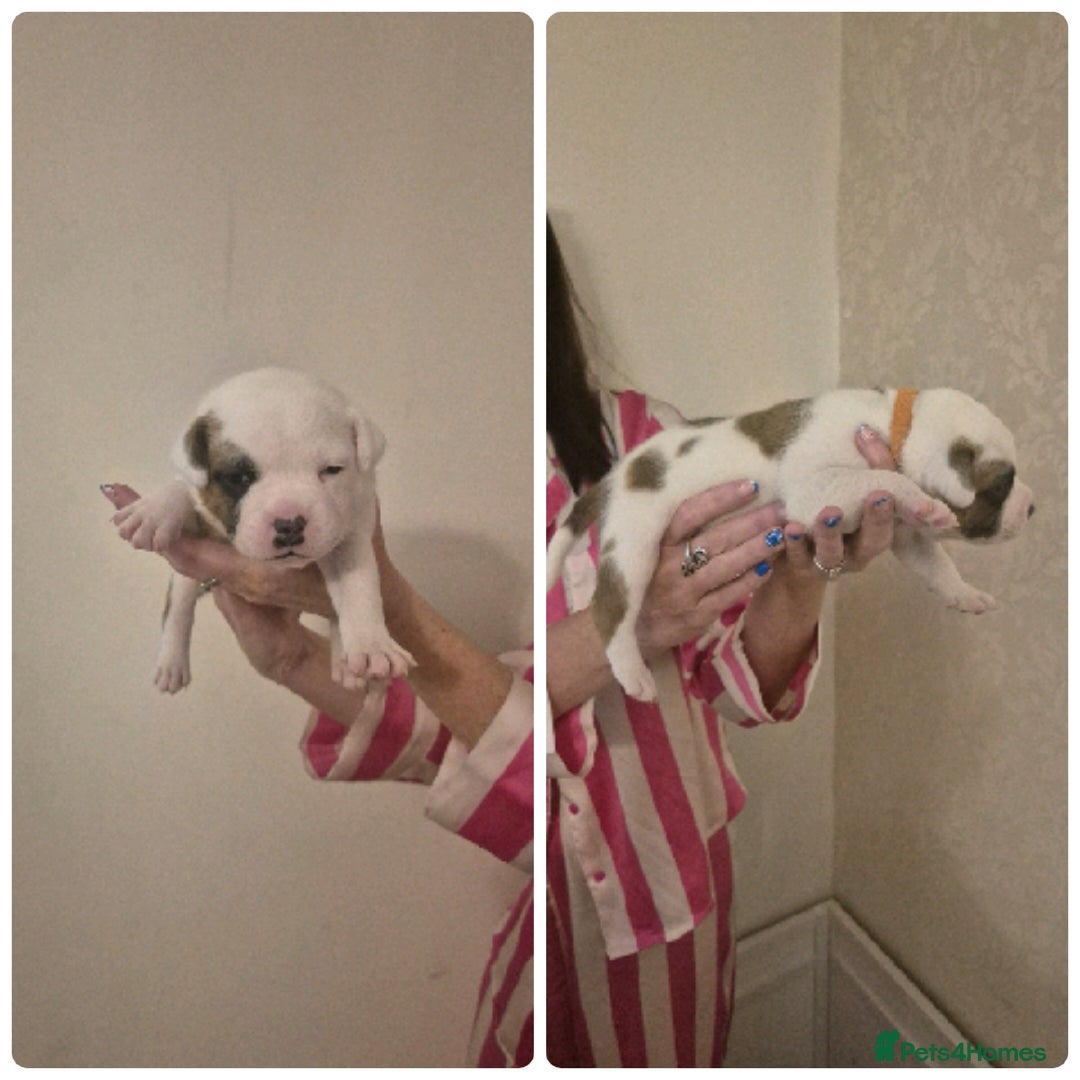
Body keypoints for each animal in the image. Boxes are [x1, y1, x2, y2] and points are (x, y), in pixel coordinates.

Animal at [113, 367, 414, 693]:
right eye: (238, 477)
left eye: (332, 470)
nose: (290, 523)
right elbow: (181, 489)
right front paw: (155, 509)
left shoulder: (351, 532)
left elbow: (357, 586)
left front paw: (372, 646)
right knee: (178, 605)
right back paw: (171, 662)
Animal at [547, 387, 1035, 702]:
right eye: (1002, 484)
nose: (1032, 508)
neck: (897, 426)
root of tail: (618, 475)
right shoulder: (817, 488)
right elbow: (885, 479)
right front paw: (922, 500)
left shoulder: (902, 531)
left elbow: (936, 565)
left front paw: (966, 593)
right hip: (635, 538)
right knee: (610, 607)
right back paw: (632, 672)